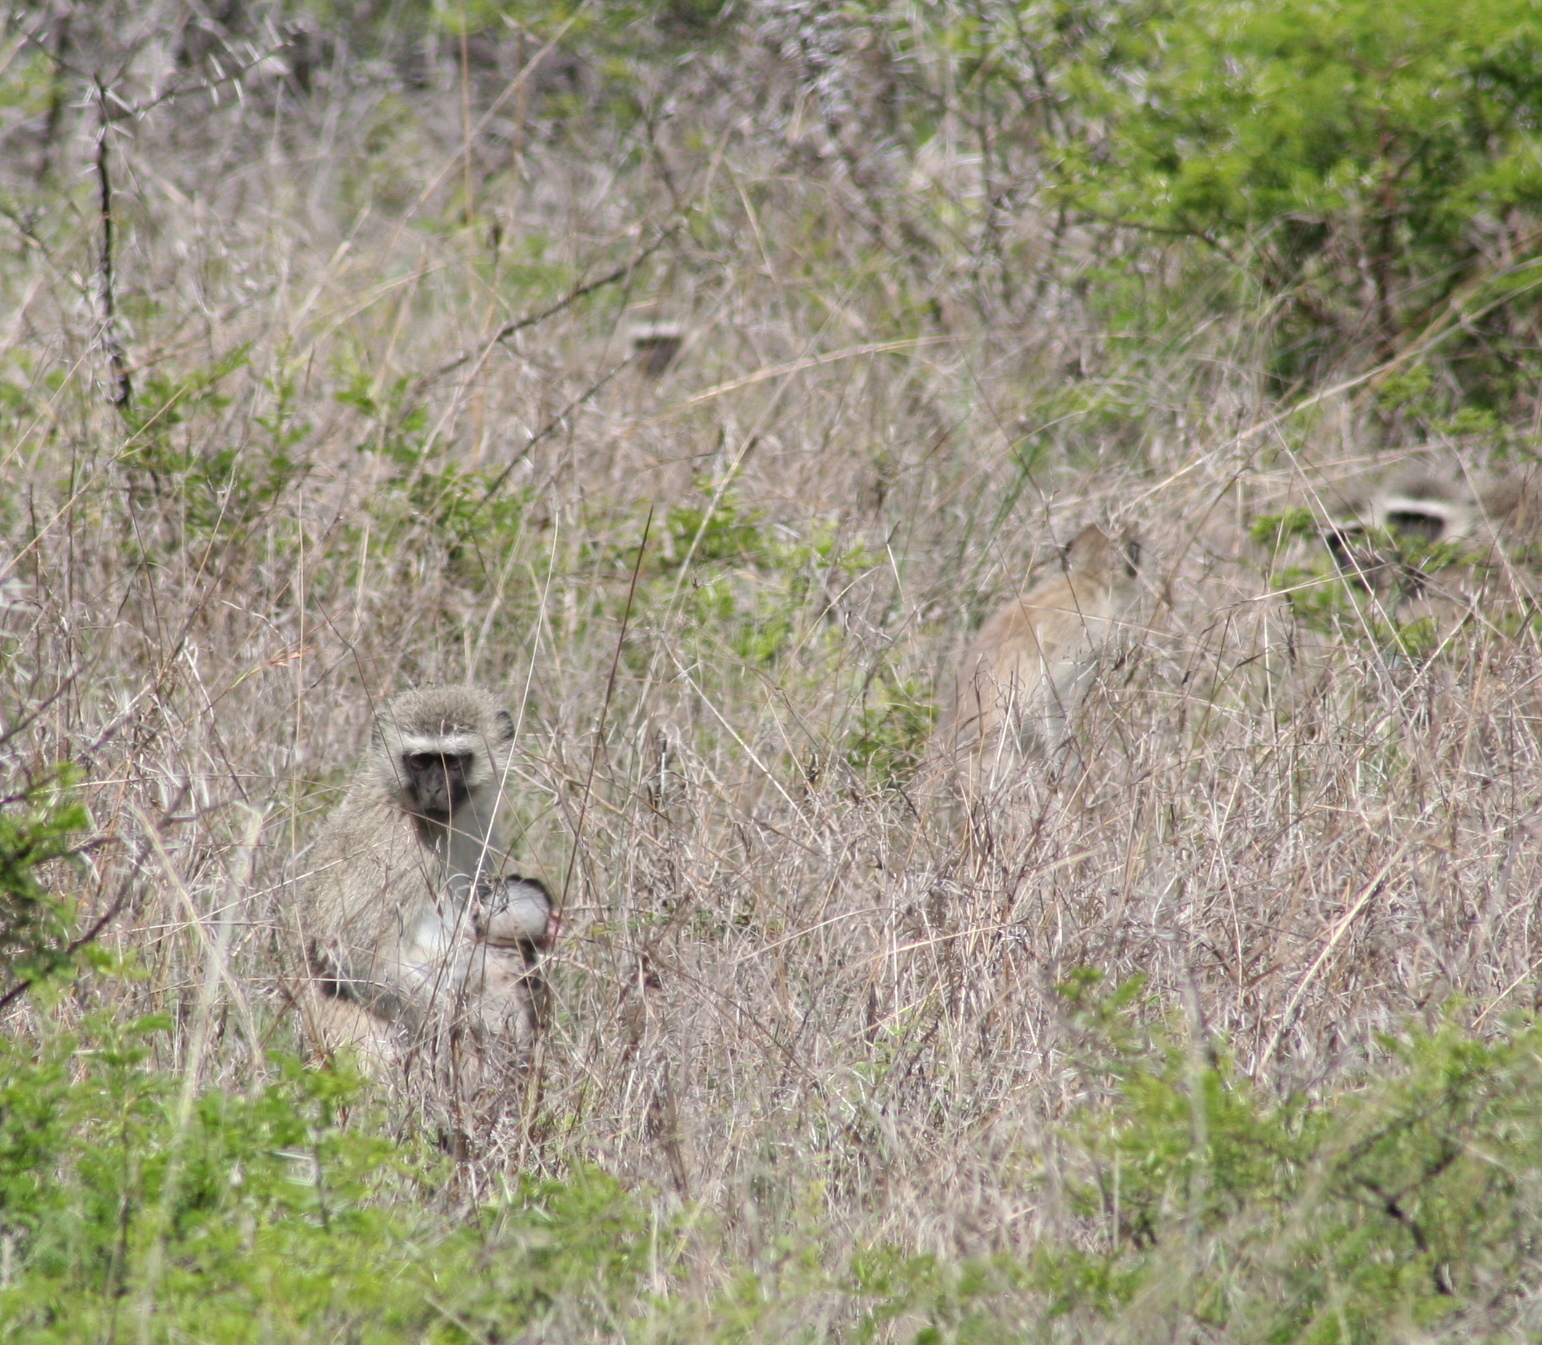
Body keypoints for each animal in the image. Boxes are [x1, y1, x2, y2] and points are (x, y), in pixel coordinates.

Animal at [292, 687, 548, 1085]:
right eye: (421, 761)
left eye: (452, 762)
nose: (434, 789)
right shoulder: (394, 846)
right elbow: (354, 953)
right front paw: (464, 1032)